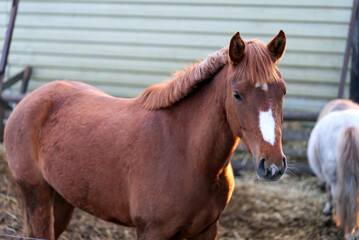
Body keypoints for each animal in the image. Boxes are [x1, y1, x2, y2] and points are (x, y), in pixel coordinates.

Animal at [4, 31, 286, 239]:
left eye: (282, 91)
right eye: (237, 94)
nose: (272, 165)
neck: (188, 155)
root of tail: (27, 102)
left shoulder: (207, 230)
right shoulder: (153, 232)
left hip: (63, 199)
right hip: (38, 196)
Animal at [308, 99, 359, 238]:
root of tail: (348, 127)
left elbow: (329, 191)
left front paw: (328, 208)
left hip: (334, 177)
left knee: (341, 196)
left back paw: (348, 231)